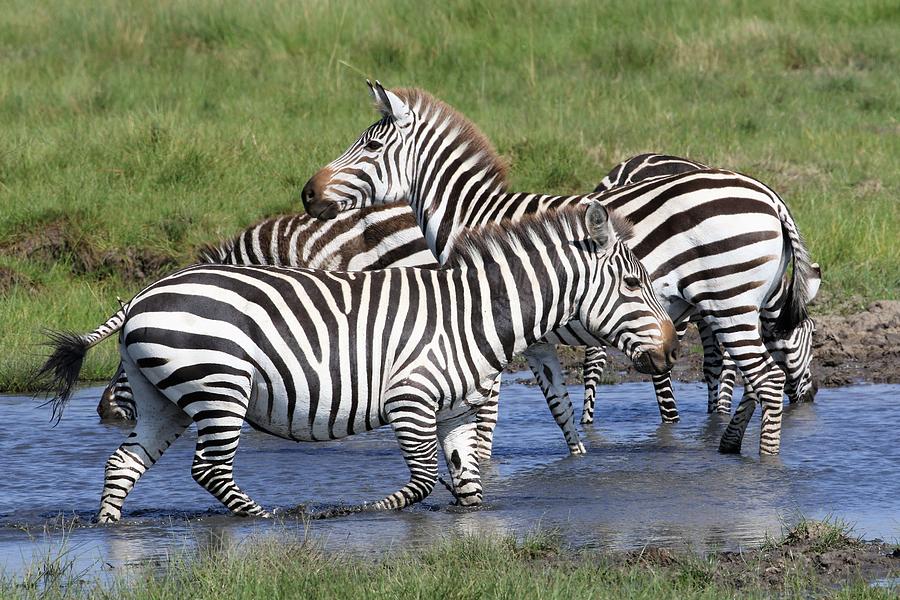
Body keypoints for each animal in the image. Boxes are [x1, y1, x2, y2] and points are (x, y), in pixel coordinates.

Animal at [38, 204, 680, 524]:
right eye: (633, 283)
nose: (673, 351)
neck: (474, 314)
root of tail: (140, 297)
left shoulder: (456, 411)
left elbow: (468, 489)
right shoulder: (410, 399)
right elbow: (420, 484)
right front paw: (357, 510)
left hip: (163, 399)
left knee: (123, 463)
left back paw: (111, 530)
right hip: (219, 388)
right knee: (210, 471)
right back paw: (270, 520)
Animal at [302, 81, 824, 454]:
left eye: (370, 148)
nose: (307, 194)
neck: (474, 217)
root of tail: (768, 194)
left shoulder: (485, 329)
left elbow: (485, 418)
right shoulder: (531, 338)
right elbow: (560, 408)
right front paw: (576, 463)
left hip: (728, 301)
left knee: (767, 378)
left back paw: (765, 463)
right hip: (744, 306)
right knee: (766, 371)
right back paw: (732, 444)